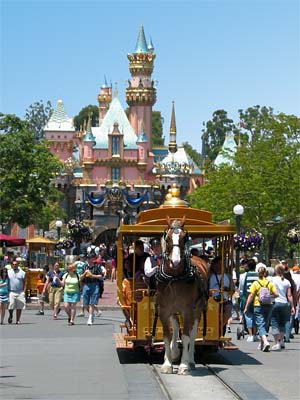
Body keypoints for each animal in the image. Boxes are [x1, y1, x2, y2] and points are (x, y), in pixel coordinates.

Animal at [156, 216, 207, 376]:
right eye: (167, 238)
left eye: (185, 238)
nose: (175, 261)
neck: (174, 278)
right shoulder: (164, 310)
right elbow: (167, 336)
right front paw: (167, 363)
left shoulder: (188, 311)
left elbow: (186, 337)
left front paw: (184, 365)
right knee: (176, 325)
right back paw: (173, 352)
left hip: (198, 309)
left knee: (192, 332)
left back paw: (190, 361)